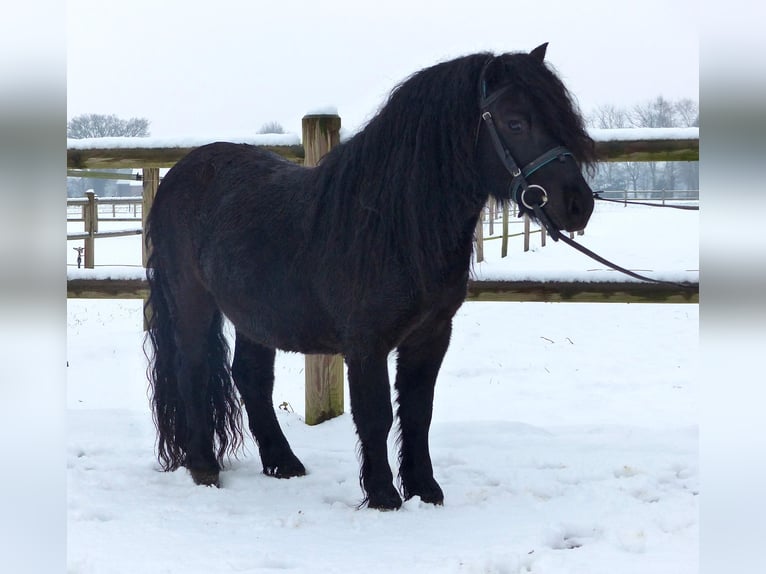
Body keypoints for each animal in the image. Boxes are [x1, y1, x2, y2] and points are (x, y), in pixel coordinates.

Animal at [146, 42, 600, 510]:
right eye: (515, 122)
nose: (578, 204)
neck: (391, 223)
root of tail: (181, 172)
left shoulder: (432, 334)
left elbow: (418, 412)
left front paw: (425, 490)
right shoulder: (366, 343)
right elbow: (376, 414)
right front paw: (384, 495)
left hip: (255, 315)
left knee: (251, 378)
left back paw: (283, 463)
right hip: (191, 299)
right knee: (193, 368)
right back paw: (204, 467)